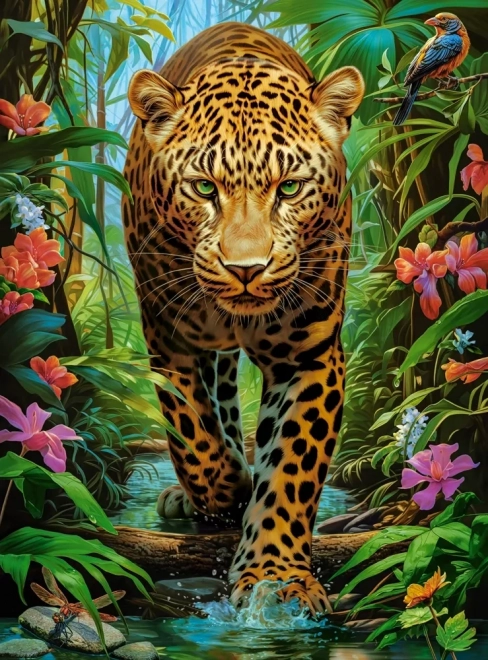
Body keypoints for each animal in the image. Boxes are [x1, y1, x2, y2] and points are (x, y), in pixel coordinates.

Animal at [122, 21, 364, 617]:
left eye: (290, 188)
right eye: (204, 187)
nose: (246, 270)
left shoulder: (309, 356)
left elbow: (292, 468)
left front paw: (277, 579)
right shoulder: (168, 342)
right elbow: (193, 435)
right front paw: (226, 490)